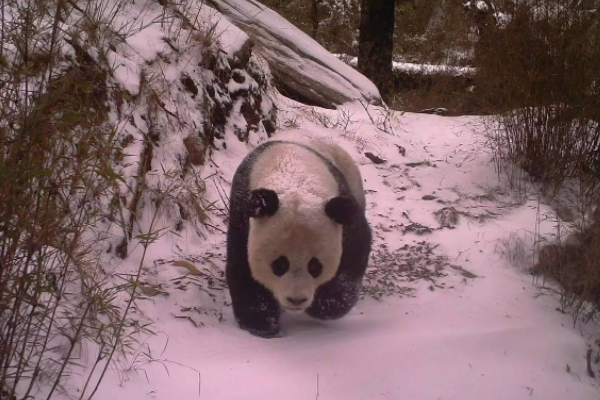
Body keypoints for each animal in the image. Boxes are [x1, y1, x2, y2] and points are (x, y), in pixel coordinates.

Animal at [227, 128, 372, 338]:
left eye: (315, 266)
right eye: (279, 265)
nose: (296, 300)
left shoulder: (341, 206)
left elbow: (353, 255)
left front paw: (323, 305)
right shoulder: (243, 211)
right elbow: (243, 267)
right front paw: (263, 325)